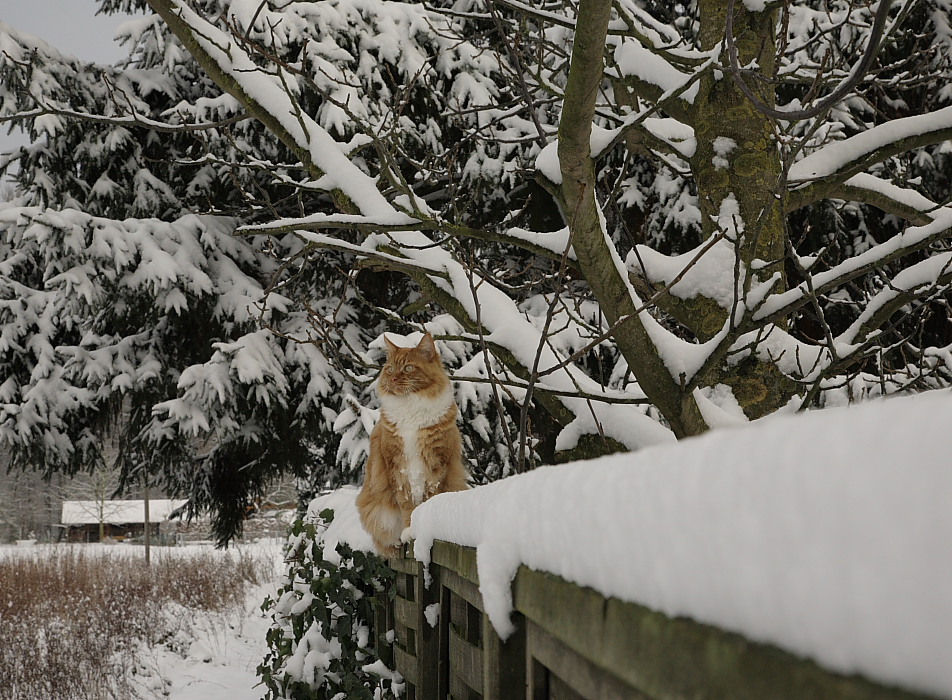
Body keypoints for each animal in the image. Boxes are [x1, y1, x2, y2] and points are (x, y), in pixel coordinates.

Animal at [356, 334, 470, 556]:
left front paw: (419, 527)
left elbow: (427, 499)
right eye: (390, 369)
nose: (392, 379)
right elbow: (406, 504)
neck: (411, 407)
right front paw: (408, 530)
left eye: (408, 368)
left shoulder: (437, 464)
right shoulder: (396, 467)